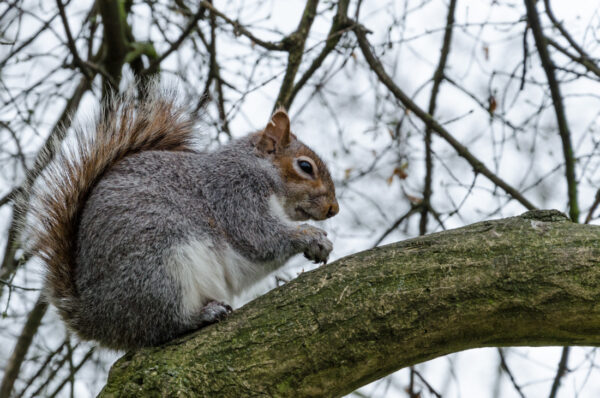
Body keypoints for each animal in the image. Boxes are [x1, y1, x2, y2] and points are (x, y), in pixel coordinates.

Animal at [27, 89, 338, 348]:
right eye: (305, 167)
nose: (333, 210)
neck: (260, 168)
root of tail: (97, 317)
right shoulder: (233, 192)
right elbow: (259, 236)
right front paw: (311, 237)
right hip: (159, 268)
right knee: (163, 325)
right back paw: (202, 315)